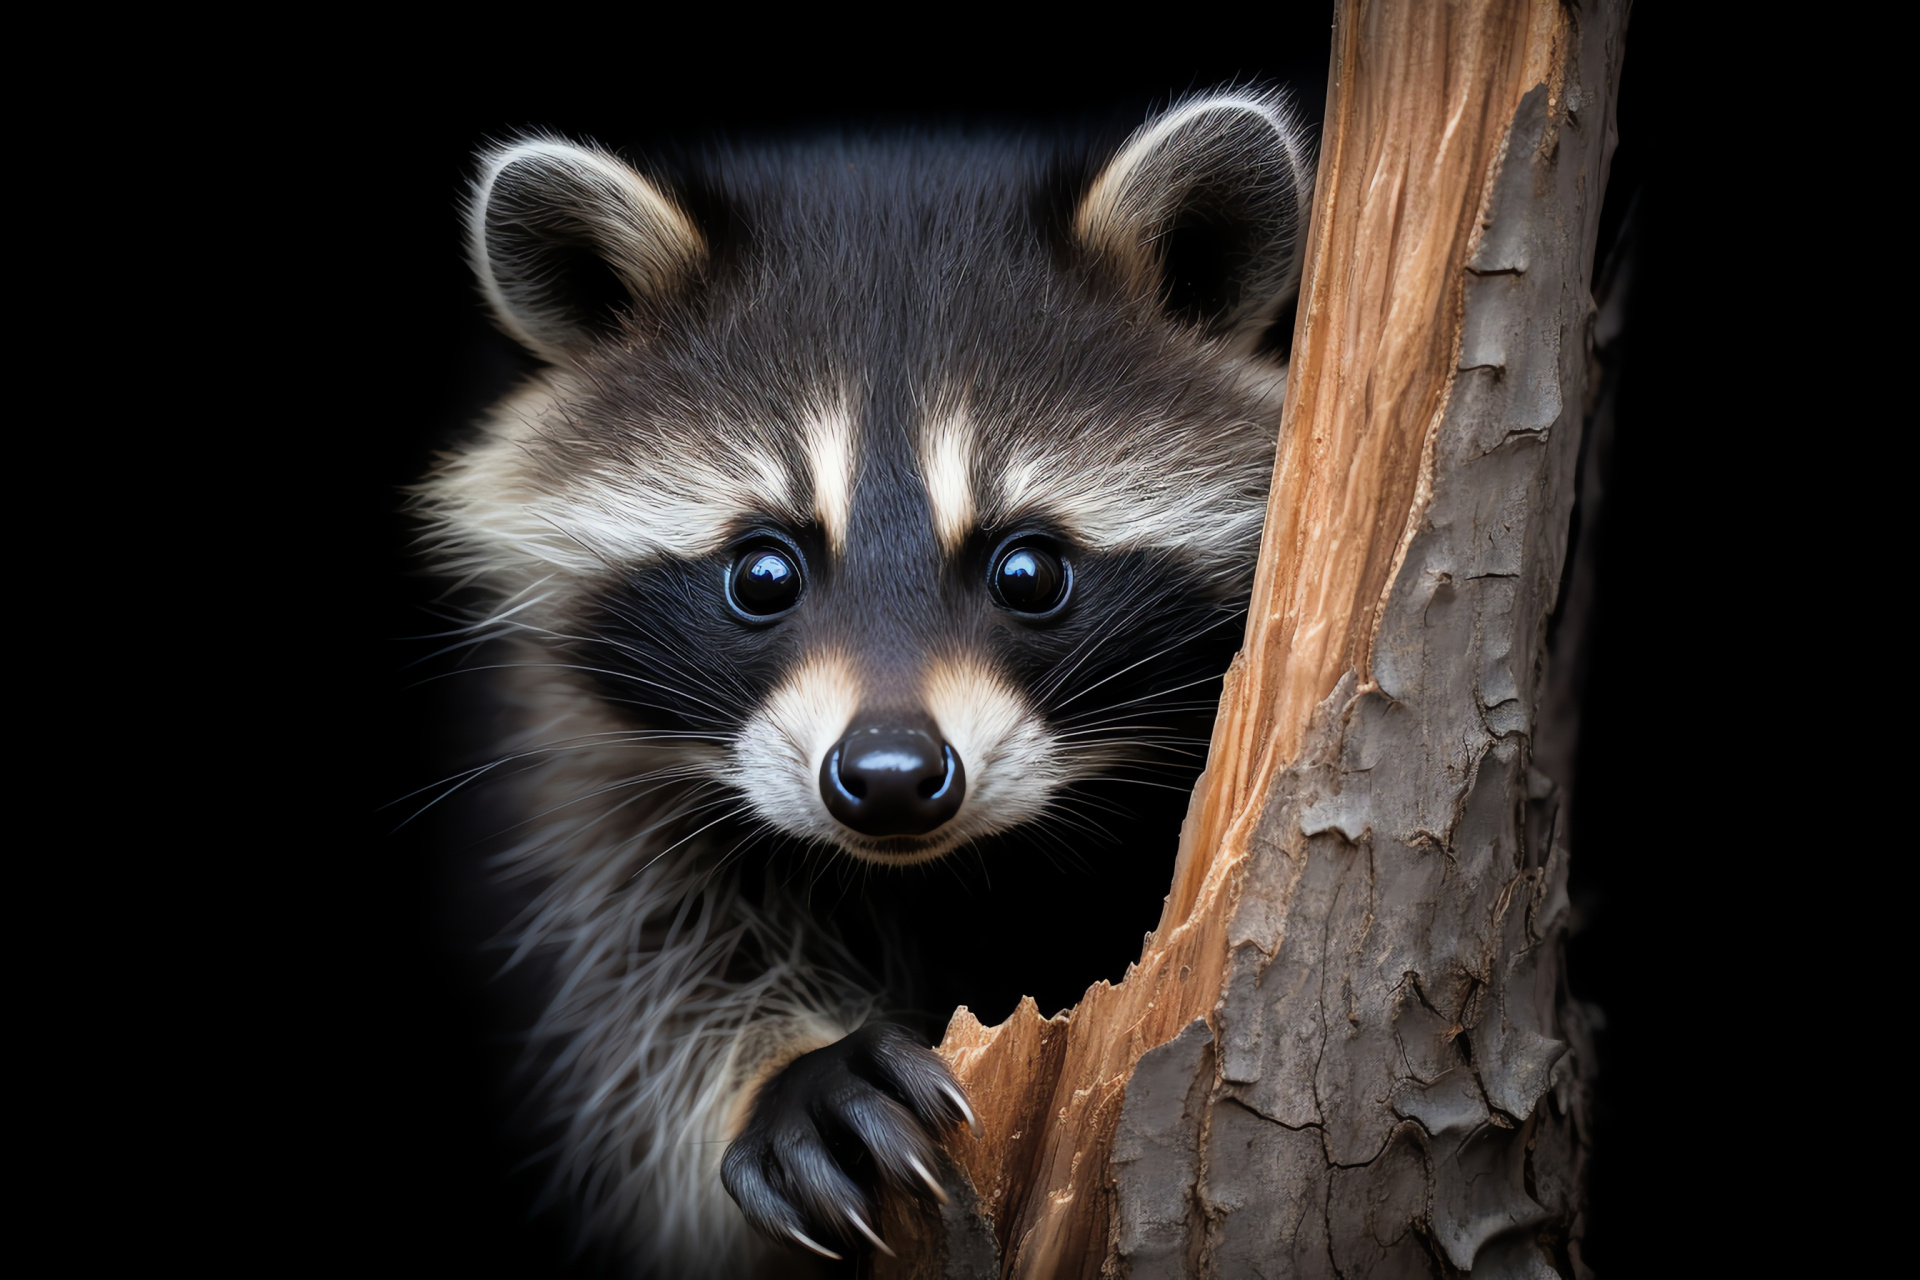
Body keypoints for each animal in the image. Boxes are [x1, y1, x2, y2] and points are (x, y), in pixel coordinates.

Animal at [418, 94, 1313, 1274]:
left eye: (1029, 572)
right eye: (762, 573)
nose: (889, 775)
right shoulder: (593, 776)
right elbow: (637, 980)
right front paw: (781, 1075)